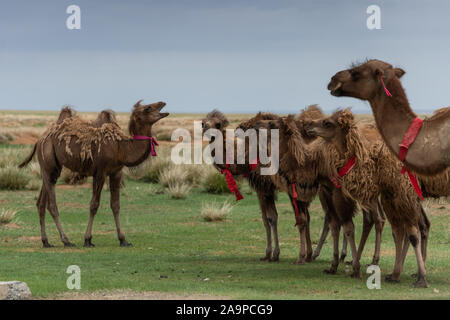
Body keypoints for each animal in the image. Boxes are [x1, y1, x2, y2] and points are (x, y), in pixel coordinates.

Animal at [17, 100, 169, 248]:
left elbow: (116, 205)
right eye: (148, 108)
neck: (121, 148)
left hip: (51, 169)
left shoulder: (116, 172)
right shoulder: (100, 172)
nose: (163, 103)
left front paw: (123, 240)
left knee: (41, 203)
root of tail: (39, 139)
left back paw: (46, 242)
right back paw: (66, 241)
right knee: (52, 205)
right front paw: (87, 240)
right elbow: (94, 205)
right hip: (48, 162)